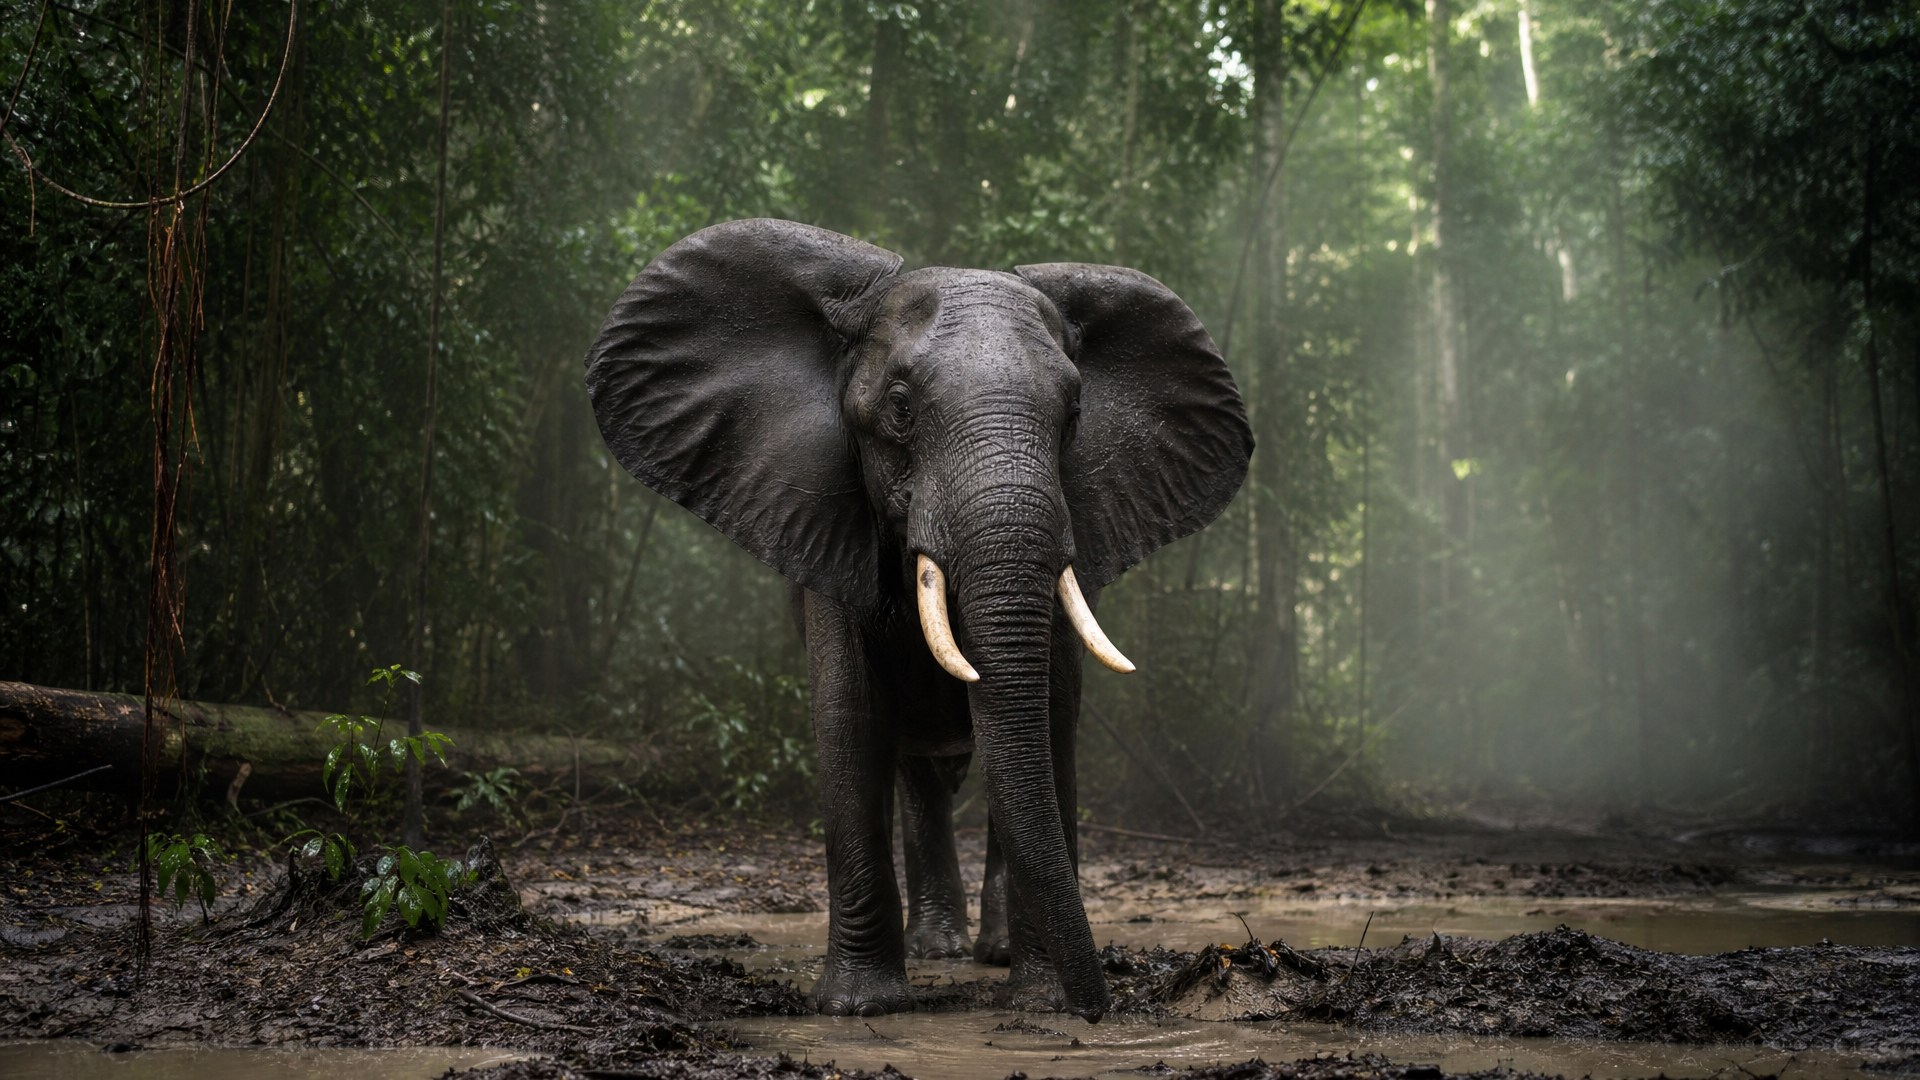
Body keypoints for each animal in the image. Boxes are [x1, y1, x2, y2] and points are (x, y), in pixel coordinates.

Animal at [585, 219, 1251, 1022]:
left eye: (1075, 416)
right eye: (900, 407)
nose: (1100, 1011)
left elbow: (1048, 713)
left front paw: (1039, 999)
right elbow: (851, 715)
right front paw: (858, 1008)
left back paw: (987, 955)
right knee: (917, 769)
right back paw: (938, 951)